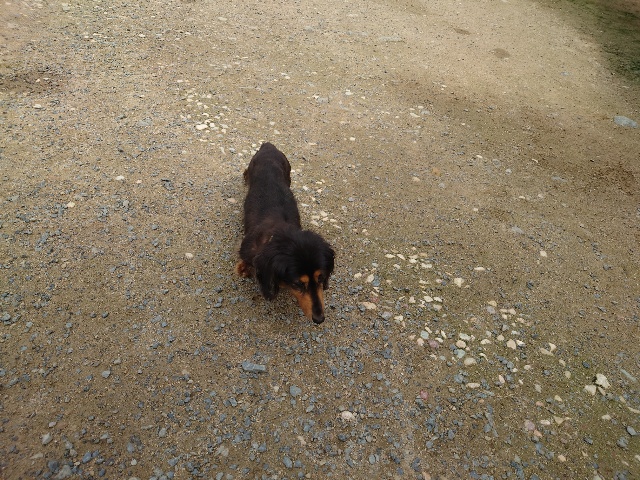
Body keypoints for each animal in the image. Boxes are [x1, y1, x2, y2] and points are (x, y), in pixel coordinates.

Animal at [236, 142, 335, 324]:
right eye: (298, 284)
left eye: (321, 278)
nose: (319, 319)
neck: (278, 232)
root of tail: (268, 145)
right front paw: (244, 268)